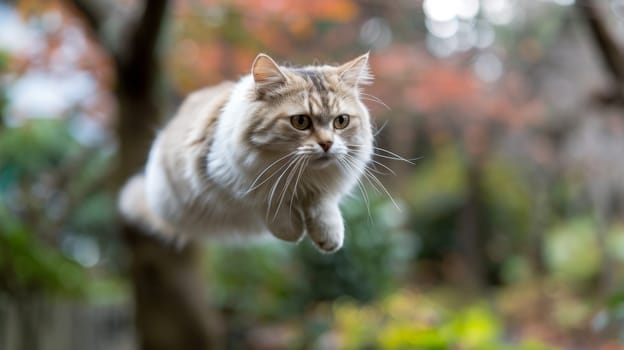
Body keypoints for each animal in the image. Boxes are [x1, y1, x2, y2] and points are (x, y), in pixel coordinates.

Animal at [119, 52, 376, 252]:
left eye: (341, 121)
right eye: (301, 122)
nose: (327, 144)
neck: (299, 178)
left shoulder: (323, 186)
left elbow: (322, 205)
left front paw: (329, 236)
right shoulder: (227, 176)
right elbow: (264, 200)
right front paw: (292, 231)